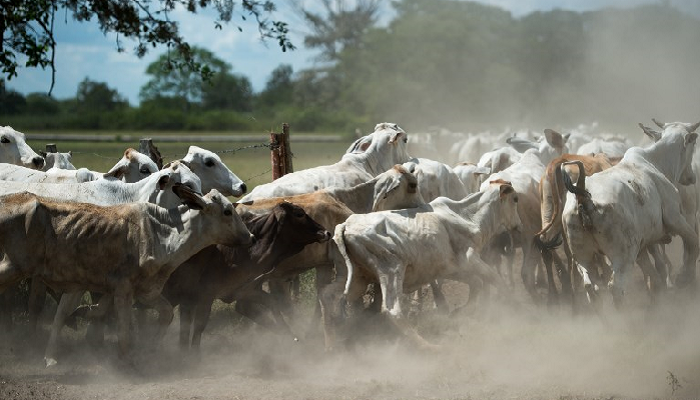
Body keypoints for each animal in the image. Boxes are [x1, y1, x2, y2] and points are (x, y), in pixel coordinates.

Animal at [564, 120, 700, 304]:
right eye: (693, 144)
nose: (691, 178)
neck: (654, 162)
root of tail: (584, 199)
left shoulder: (643, 243)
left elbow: (655, 270)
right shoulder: (675, 218)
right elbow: (693, 242)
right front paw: (684, 277)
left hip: (583, 256)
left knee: (590, 285)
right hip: (623, 256)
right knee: (615, 286)